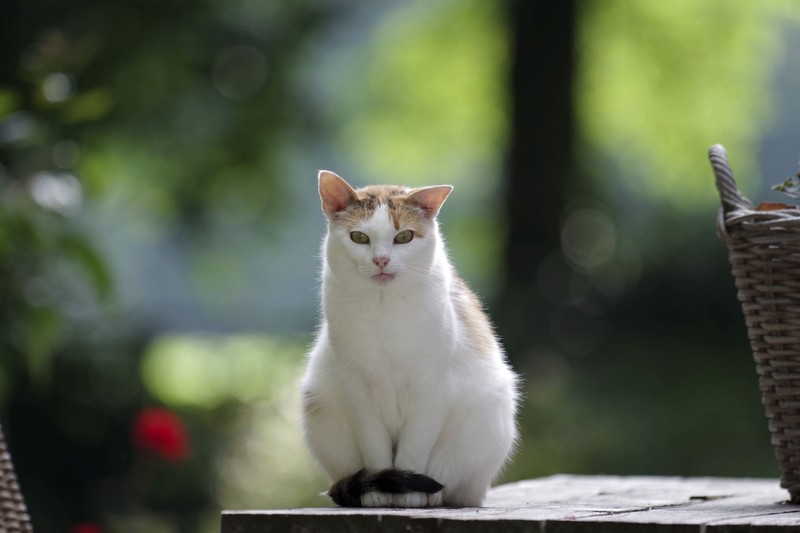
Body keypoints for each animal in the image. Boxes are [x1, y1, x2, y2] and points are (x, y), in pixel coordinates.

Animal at [300, 170, 520, 508]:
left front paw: (410, 493)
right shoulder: (358, 388)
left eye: (404, 237)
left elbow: (415, 447)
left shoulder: (431, 387)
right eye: (359, 238)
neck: (384, 311)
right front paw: (378, 491)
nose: (381, 260)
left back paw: (432, 495)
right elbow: (375, 447)